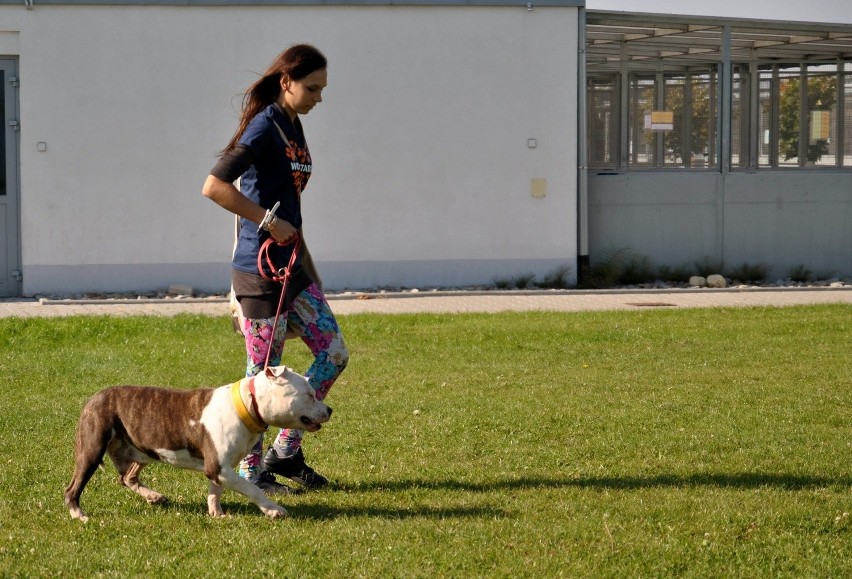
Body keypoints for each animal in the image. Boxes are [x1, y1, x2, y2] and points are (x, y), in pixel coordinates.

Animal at [62, 364, 330, 524]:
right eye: (309, 395)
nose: (330, 409)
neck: (247, 404)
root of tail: (94, 397)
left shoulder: (220, 468)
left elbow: (215, 491)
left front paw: (216, 513)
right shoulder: (219, 467)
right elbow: (253, 489)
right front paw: (273, 510)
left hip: (140, 451)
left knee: (127, 477)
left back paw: (154, 496)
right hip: (91, 449)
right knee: (73, 488)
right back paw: (79, 515)